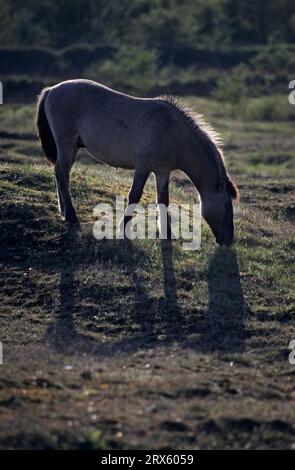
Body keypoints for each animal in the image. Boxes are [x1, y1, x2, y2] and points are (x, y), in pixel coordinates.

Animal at [35, 79, 238, 246]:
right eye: (227, 206)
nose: (228, 240)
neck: (172, 131)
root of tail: (51, 89)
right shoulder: (143, 167)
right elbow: (134, 195)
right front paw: (122, 229)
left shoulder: (162, 171)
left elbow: (163, 200)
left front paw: (167, 233)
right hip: (66, 145)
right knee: (61, 175)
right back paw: (71, 216)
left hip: (72, 149)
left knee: (62, 175)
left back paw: (64, 212)